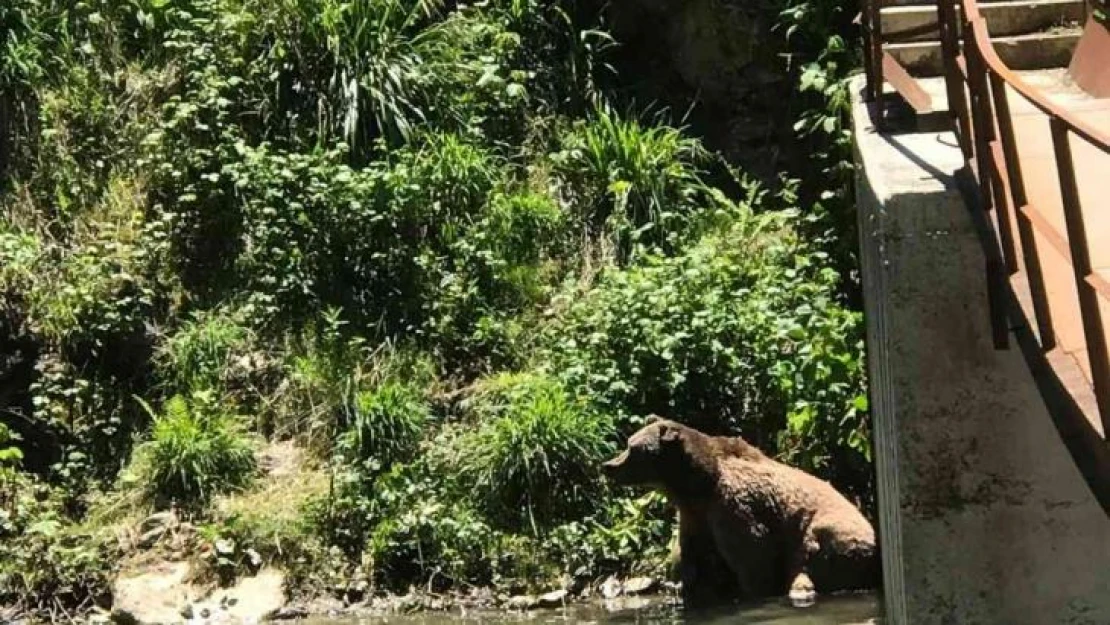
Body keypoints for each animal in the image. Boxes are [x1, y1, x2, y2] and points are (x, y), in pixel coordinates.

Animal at [603, 417, 879, 608]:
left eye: (632, 448)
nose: (608, 465)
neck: (698, 484)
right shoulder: (696, 515)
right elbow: (693, 558)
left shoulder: (733, 506)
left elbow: (753, 557)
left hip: (829, 536)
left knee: (807, 562)